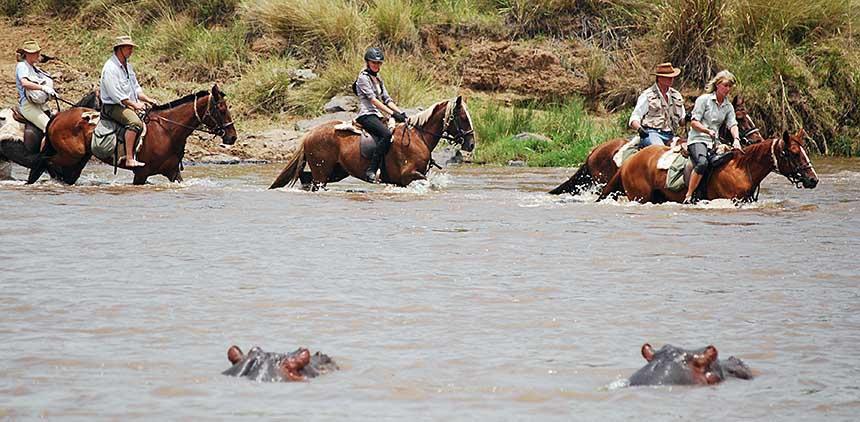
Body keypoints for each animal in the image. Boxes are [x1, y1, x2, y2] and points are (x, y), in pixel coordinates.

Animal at [31, 84, 235, 185]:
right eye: (221, 109)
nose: (232, 137)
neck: (167, 131)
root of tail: (57, 117)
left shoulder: (173, 173)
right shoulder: (141, 174)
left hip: (77, 159)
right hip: (70, 156)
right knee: (45, 162)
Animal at [268, 96, 474, 190]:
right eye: (463, 117)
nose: (471, 144)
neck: (418, 137)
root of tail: (310, 134)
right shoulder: (409, 175)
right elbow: (428, 183)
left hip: (336, 172)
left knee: (305, 178)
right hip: (323, 171)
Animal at [596, 128, 816, 204]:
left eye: (804, 150)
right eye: (794, 153)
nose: (813, 179)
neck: (742, 170)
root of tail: (627, 163)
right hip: (640, 197)